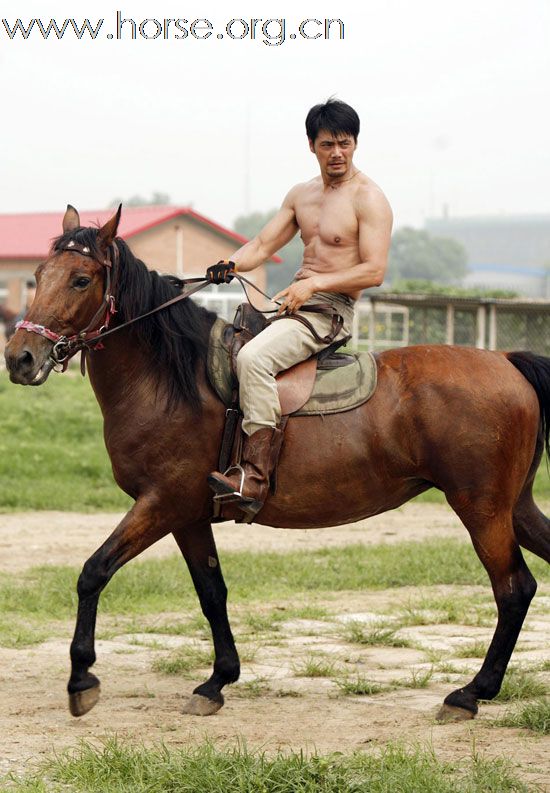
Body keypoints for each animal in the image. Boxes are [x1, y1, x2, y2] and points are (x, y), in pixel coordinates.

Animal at [4, 209, 550, 724]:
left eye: (81, 280)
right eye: (37, 274)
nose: (20, 358)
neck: (170, 378)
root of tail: (506, 361)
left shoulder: (161, 504)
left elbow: (93, 572)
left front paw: (81, 680)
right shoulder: (188, 515)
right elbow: (211, 591)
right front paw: (218, 681)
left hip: (481, 508)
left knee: (513, 589)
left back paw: (470, 693)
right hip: (513, 507)